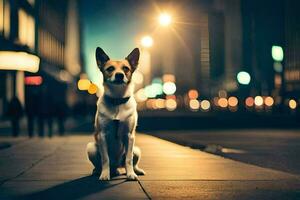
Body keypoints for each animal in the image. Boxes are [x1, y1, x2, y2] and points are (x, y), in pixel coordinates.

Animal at [85, 47, 145, 181]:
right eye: (110, 69)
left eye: (126, 68)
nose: (119, 75)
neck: (117, 100)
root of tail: (116, 167)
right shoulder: (102, 135)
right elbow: (105, 159)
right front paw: (104, 174)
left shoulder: (130, 136)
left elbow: (129, 159)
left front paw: (131, 174)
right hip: (91, 148)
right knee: (102, 164)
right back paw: (100, 171)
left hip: (137, 149)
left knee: (131, 162)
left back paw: (135, 171)